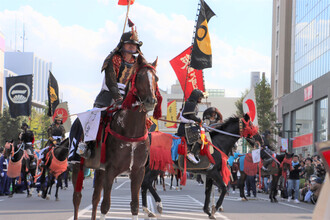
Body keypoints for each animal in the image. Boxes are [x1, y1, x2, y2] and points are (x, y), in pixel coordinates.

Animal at [71, 54, 161, 220]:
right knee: (77, 198)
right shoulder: (110, 170)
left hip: (98, 170)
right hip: (77, 164)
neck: (130, 130)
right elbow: (105, 205)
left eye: (156, 78)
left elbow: (134, 206)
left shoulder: (138, 172)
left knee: (95, 198)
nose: (151, 101)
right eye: (139, 76)